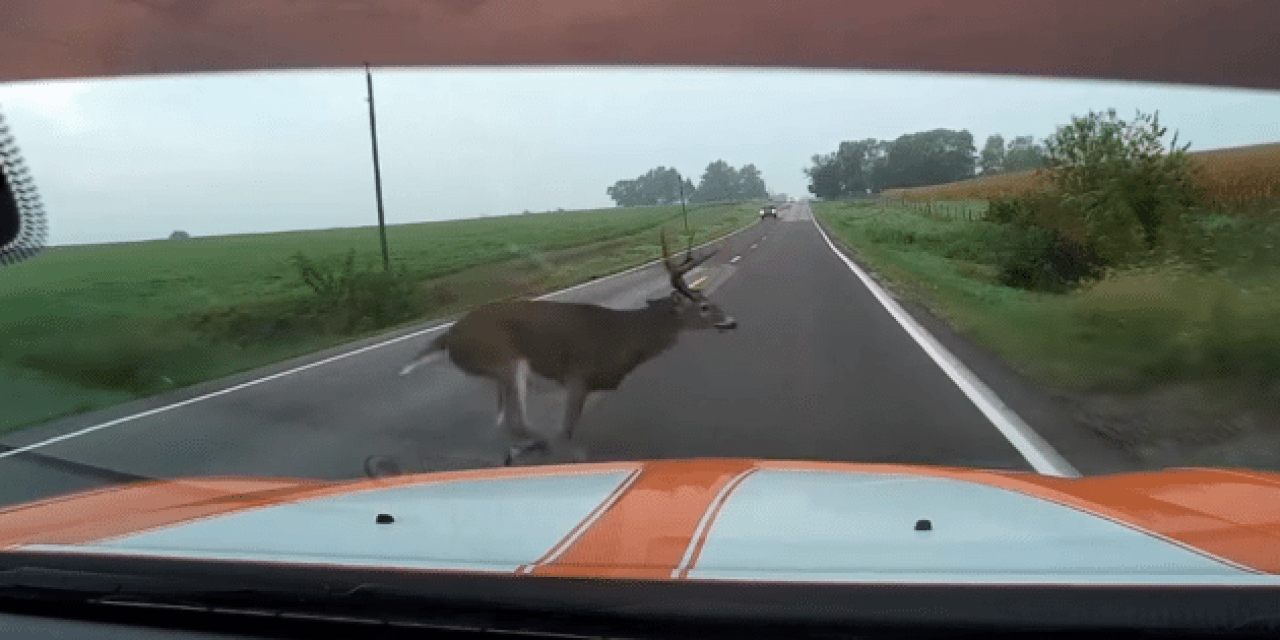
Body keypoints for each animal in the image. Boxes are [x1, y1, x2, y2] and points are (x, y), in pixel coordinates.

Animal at [399, 230, 742, 465]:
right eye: (705, 307)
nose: (732, 322)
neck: (625, 335)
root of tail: (449, 336)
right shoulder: (578, 375)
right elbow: (566, 428)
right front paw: (572, 453)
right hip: (504, 359)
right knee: (516, 422)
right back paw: (550, 449)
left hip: (498, 373)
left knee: (504, 424)